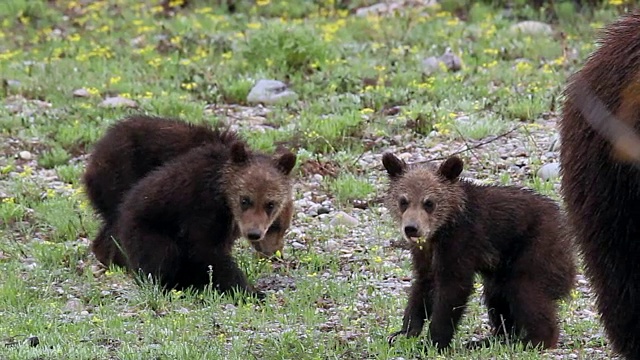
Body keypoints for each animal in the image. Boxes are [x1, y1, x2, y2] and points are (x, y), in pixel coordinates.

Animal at [382, 153, 576, 352]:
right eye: (403, 201)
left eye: (429, 203)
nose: (411, 228)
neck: (440, 230)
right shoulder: (425, 253)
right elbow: (423, 285)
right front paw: (403, 333)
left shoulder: (461, 242)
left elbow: (452, 289)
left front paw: (433, 341)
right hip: (503, 266)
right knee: (497, 296)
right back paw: (492, 339)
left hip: (537, 247)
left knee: (526, 291)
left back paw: (534, 340)